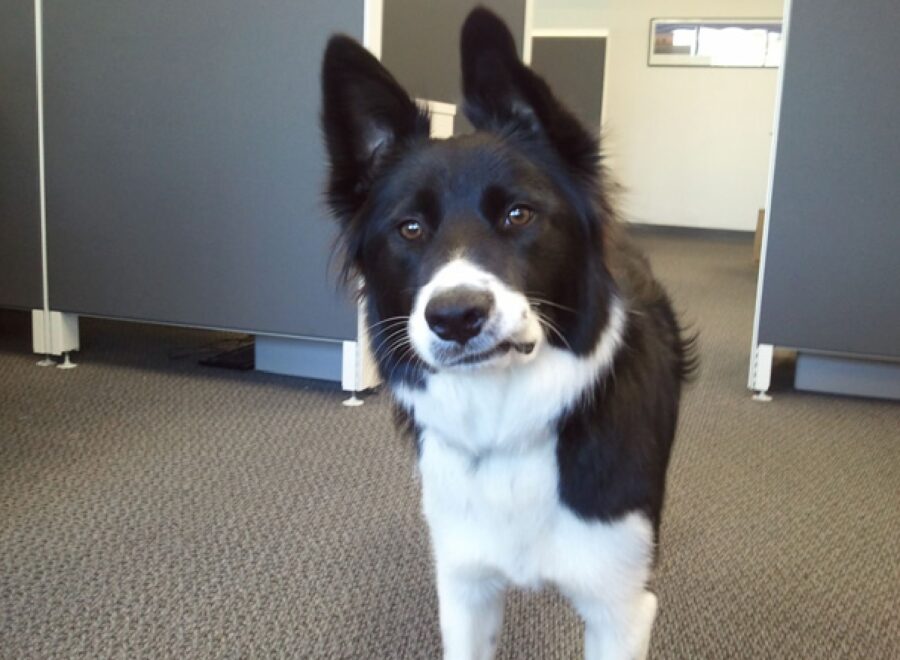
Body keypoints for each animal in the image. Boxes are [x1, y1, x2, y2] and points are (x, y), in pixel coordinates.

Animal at [320, 6, 692, 660]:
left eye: (519, 214)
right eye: (409, 228)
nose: (455, 316)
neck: (507, 425)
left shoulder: (620, 608)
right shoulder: (465, 588)